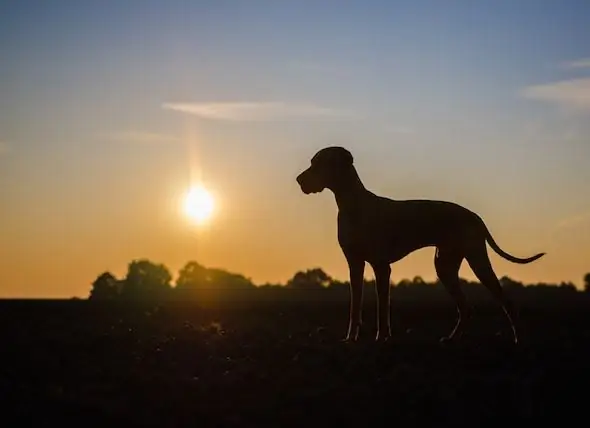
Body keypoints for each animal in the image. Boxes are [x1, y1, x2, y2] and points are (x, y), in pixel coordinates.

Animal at [298, 147, 548, 344]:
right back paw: (452, 339)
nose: (299, 180)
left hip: (476, 261)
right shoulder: (355, 265)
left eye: (319, 164)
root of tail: (475, 216)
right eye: (313, 162)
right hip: (445, 265)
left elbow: (382, 307)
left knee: (505, 301)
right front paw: (351, 339)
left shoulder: (381, 266)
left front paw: (382, 338)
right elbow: (354, 306)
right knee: (466, 307)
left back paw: (517, 340)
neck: (352, 205)